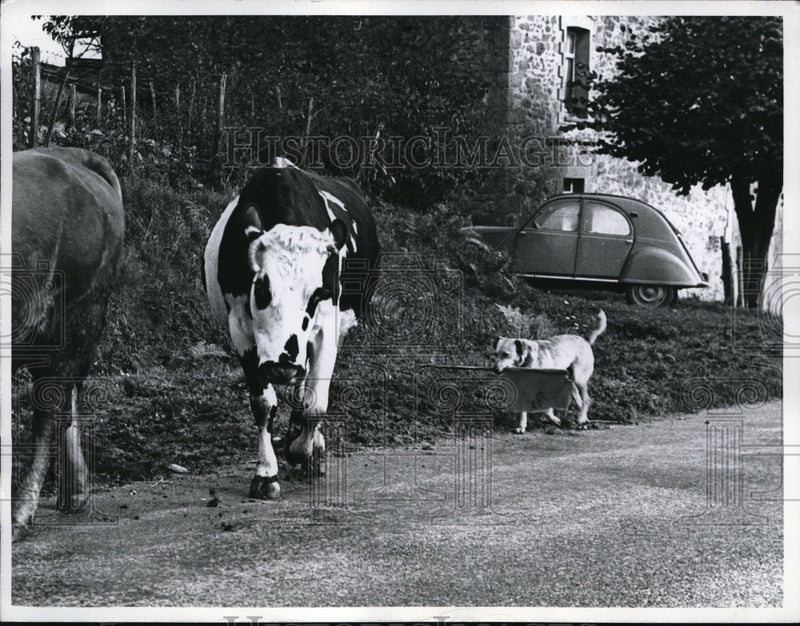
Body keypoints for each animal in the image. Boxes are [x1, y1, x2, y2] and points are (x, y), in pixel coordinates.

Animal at [11, 147, 125, 541]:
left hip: (77, 311)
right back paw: (74, 493)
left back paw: (20, 514)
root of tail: (72, 156)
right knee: (65, 397)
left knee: (49, 406)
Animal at [203, 159, 379, 500]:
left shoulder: (327, 330)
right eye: (261, 286)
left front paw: (303, 450)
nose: (281, 365)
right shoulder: (240, 329)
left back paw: (313, 447)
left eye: (319, 293)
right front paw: (266, 473)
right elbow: (263, 404)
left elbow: (316, 404)